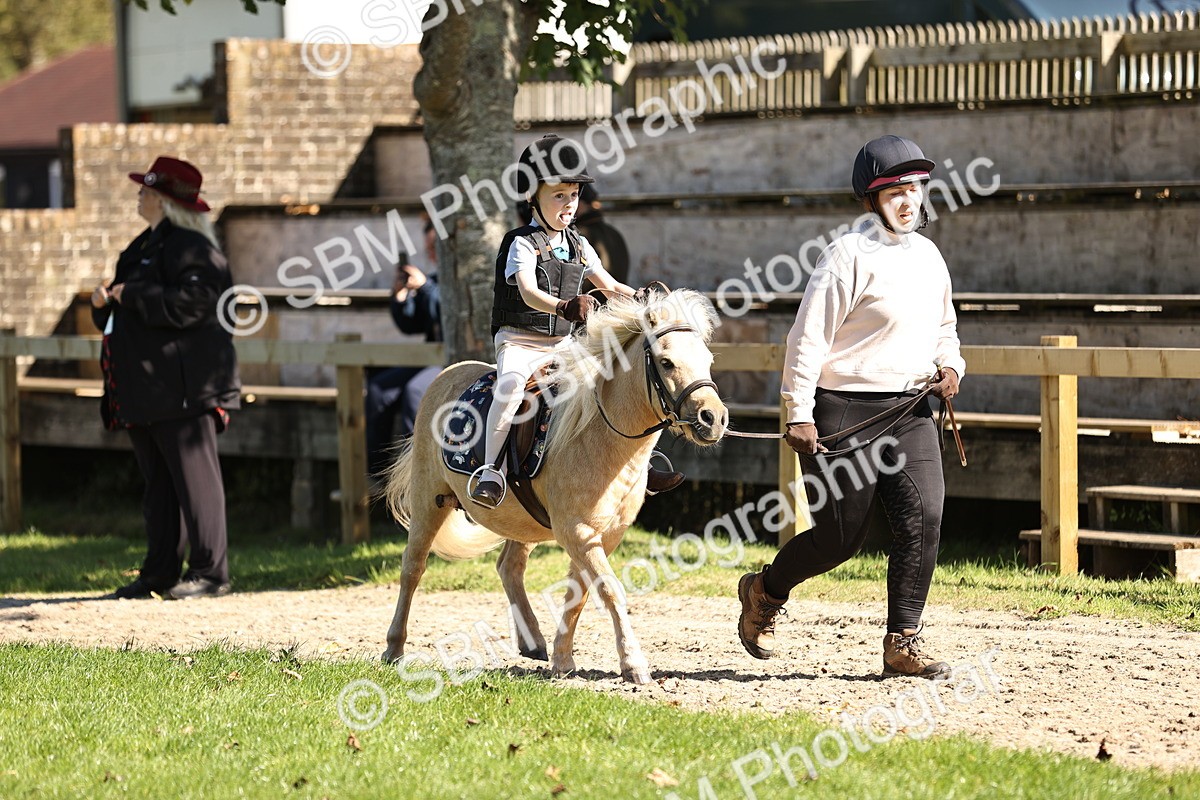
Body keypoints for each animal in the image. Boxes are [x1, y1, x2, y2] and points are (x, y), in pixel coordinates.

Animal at [381, 289, 729, 684]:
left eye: (707, 360)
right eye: (667, 362)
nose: (713, 418)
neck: (601, 438)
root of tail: (446, 376)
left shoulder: (603, 535)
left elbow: (579, 594)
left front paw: (563, 660)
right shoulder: (576, 532)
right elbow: (610, 590)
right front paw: (634, 663)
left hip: (520, 520)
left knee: (509, 567)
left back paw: (532, 640)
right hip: (429, 500)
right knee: (413, 567)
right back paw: (394, 649)